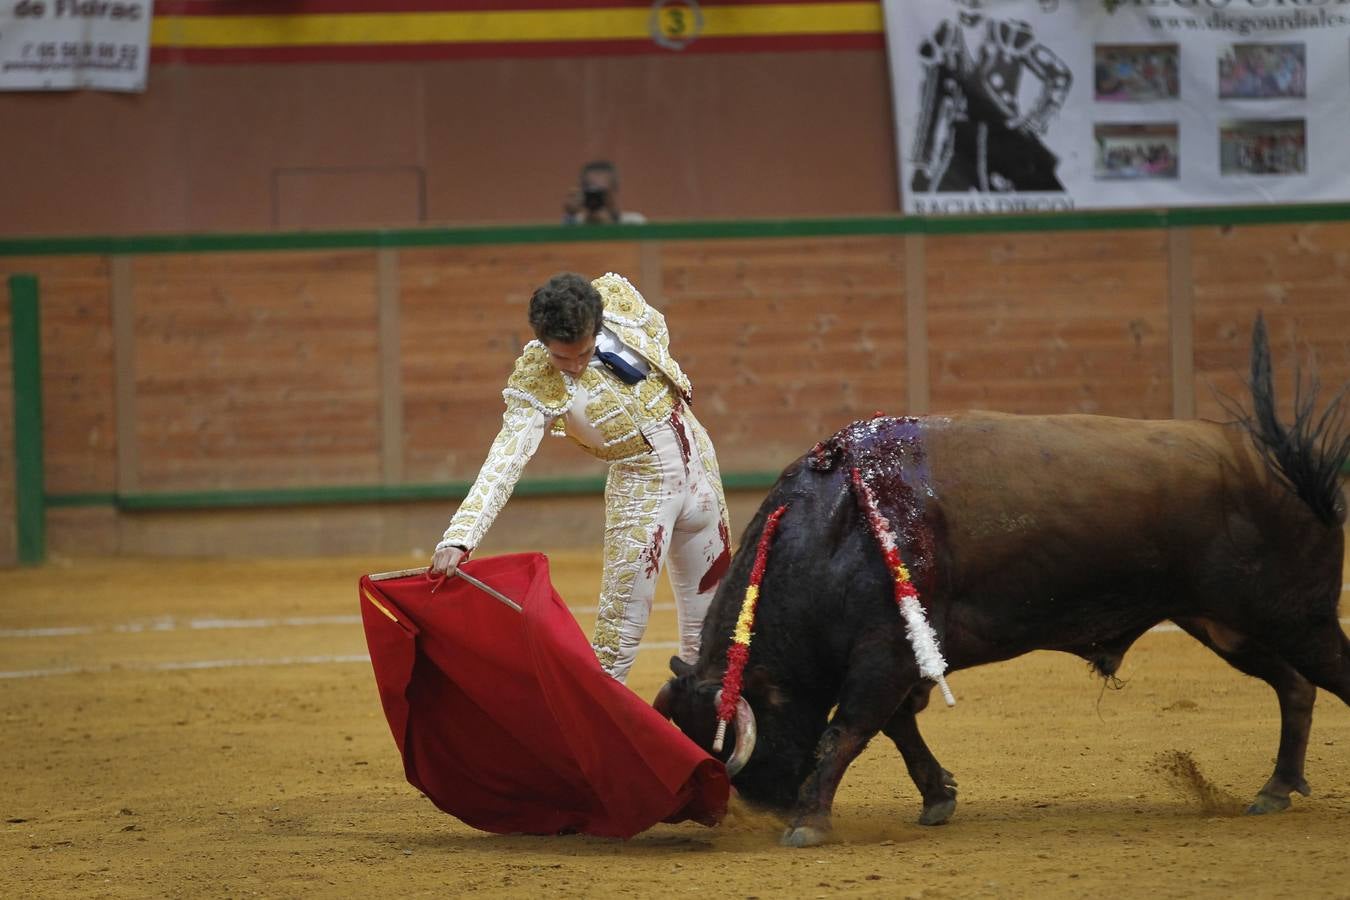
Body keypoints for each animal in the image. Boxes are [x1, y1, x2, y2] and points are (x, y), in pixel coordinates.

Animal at [650, 318, 1339, 852]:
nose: (764, 809)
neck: (829, 532)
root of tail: (1284, 462)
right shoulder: (898, 659)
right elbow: (895, 731)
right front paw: (938, 798)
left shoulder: (884, 654)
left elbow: (844, 732)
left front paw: (808, 824)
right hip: (1225, 624)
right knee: (1294, 686)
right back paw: (1275, 789)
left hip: (1297, 616)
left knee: (1322, 676)